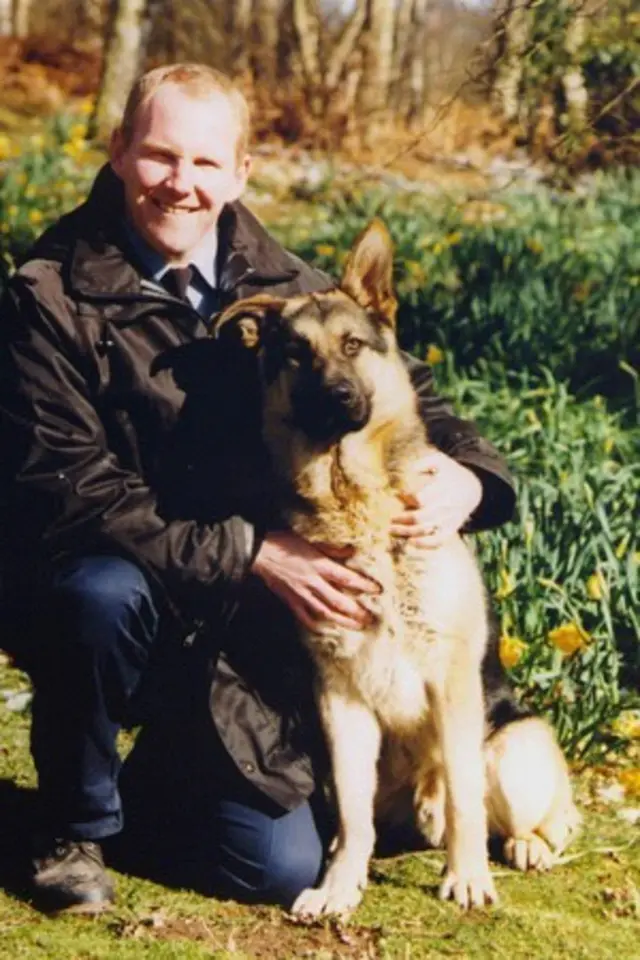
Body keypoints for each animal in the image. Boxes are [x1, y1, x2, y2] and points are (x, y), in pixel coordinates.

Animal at [215, 221, 580, 920]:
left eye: (353, 345)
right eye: (296, 354)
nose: (338, 399)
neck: (355, 499)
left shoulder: (451, 683)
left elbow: (464, 798)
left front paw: (466, 878)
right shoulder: (341, 700)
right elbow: (354, 815)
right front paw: (338, 886)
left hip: (509, 747)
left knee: (522, 813)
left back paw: (522, 844)